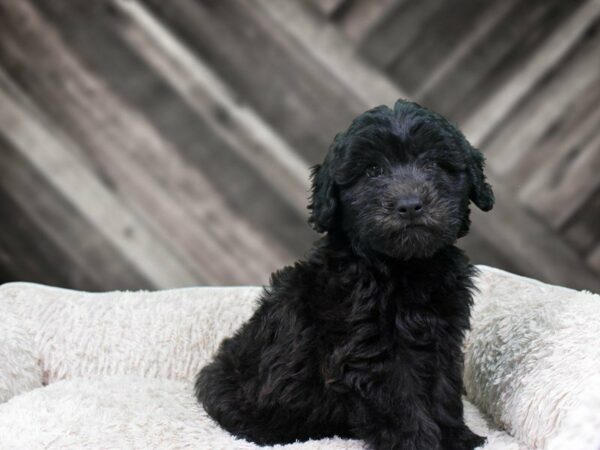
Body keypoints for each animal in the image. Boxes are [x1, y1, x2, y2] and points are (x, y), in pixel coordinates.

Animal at [197, 99, 492, 450]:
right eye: (373, 171)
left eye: (433, 163)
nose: (409, 205)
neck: (403, 267)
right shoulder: (368, 350)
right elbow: (400, 402)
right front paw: (418, 443)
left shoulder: (442, 335)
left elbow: (443, 389)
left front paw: (458, 438)